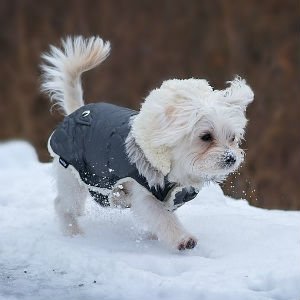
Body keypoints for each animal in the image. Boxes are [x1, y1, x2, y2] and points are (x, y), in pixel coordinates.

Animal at [41, 36, 254, 250]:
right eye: (206, 136)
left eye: (232, 138)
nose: (231, 158)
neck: (175, 168)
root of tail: (76, 112)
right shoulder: (144, 194)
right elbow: (162, 218)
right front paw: (183, 238)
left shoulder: (171, 197)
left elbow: (160, 219)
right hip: (72, 175)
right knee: (63, 205)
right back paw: (73, 232)